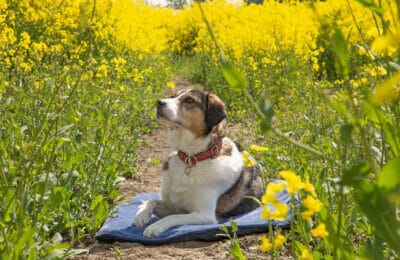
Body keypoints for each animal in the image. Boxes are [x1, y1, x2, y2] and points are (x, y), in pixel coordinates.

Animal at [134, 88, 264, 237]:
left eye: (189, 100)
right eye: (173, 96)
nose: (159, 102)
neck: (191, 158)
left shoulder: (204, 215)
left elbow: (173, 217)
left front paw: (155, 227)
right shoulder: (173, 206)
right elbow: (152, 200)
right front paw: (142, 213)